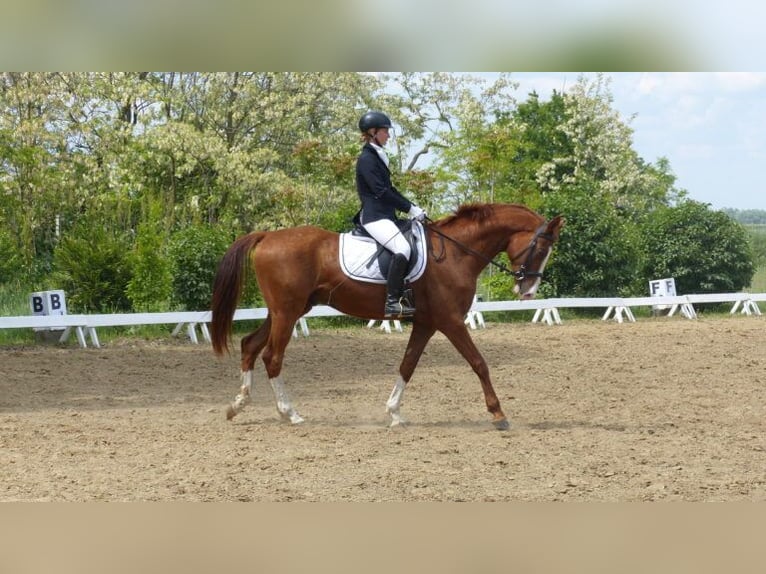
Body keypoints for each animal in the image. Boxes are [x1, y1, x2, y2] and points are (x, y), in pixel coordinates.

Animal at [210, 205, 564, 430]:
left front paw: (394, 414)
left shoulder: (427, 323)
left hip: (286, 311)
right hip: (287, 312)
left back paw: (237, 405)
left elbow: (407, 365)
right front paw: (498, 414)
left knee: (249, 345)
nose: (528, 290)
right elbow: (479, 363)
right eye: (541, 248)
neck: (456, 252)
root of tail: (267, 236)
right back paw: (290, 413)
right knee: (272, 356)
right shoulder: (450, 321)